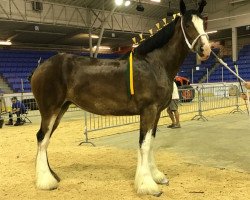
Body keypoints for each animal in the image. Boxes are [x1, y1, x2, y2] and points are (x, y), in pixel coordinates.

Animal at [31, 0, 211, 196]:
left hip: (61, 109)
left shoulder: (156, 113)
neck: (154, 64)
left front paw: (156, 176)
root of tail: (40, 68)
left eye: (204, 24)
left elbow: (151, 142)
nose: (206, 50)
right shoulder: (148, 110)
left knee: (45, 139)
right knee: (42, 138)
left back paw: (51, 176)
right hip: (50, 110)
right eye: (188, 25)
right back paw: (46, 181)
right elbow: (144, 144)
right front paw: (147, 185)